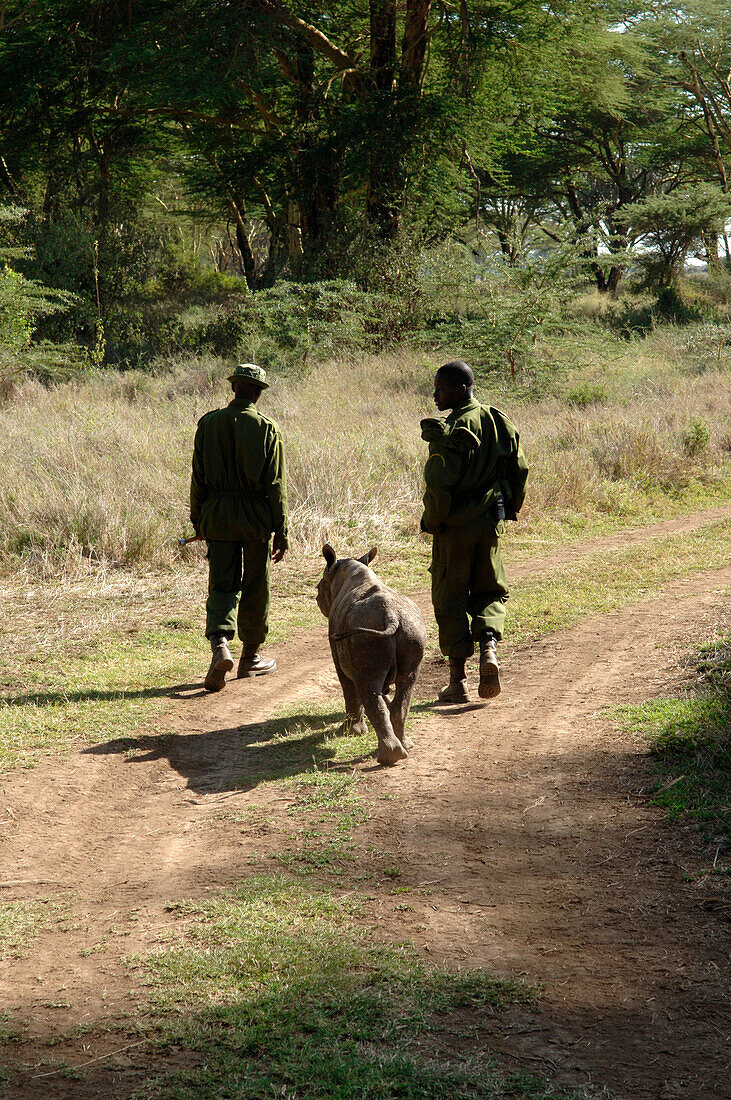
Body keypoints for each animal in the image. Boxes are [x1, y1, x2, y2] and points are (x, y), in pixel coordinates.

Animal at [314, 541, 428, 765]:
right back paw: (405, 746)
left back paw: (388, 757)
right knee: (406, 685)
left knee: (367, 687)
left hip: (367, 636)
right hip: (412, 630)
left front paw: (352, 732)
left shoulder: (335, 644)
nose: (316, 598)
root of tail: (391, 615)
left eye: (318, 588)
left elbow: (348, 687)